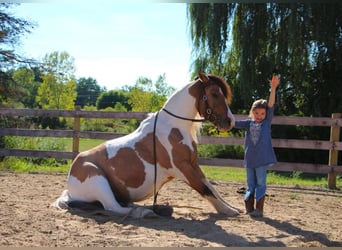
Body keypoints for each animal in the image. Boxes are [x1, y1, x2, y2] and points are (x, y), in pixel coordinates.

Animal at [53, 71, 240, 218]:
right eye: (214, 93)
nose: (230, 121)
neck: (174, 126)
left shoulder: (193, 164)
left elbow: (211, 188)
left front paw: (231, 208)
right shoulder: (182, 168)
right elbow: (204, 189)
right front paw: (228, 211)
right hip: (98, 180)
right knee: (113, 207)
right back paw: (144, 212)